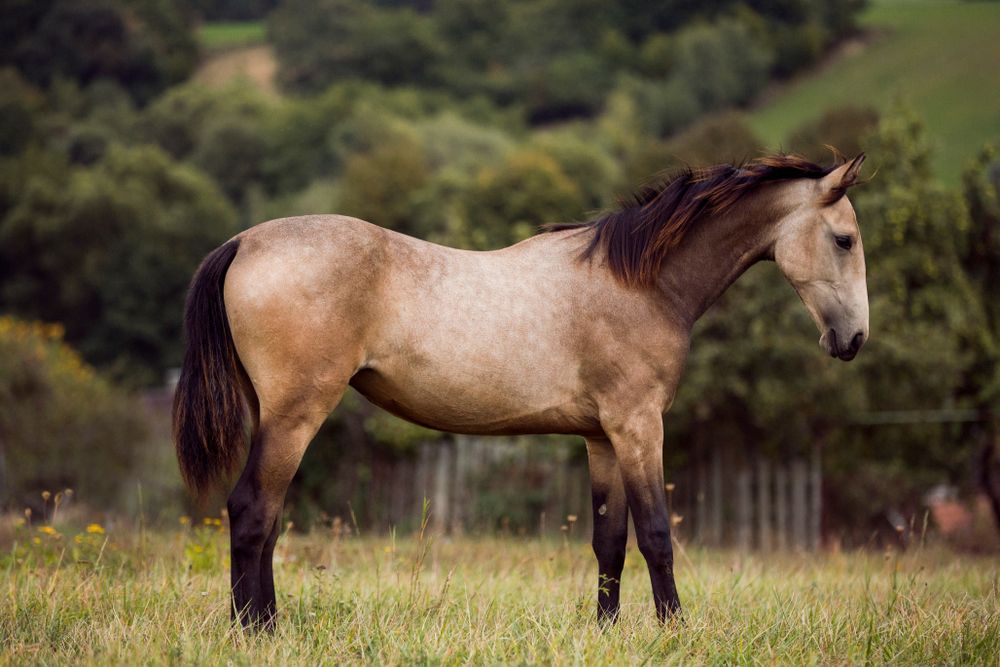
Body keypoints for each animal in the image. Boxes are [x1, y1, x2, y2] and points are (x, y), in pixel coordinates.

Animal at [173, 153, 869, 629]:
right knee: (252, 511)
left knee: (267, 520)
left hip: (274, 416)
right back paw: (257, 632)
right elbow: (655, 535)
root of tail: (243, 242)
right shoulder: (639, 426)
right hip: (296, 415)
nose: (853, 338)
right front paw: (675, 630)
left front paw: (606, 631)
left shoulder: (602, 438)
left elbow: (609, 541)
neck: (640, 282)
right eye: (845, 239)